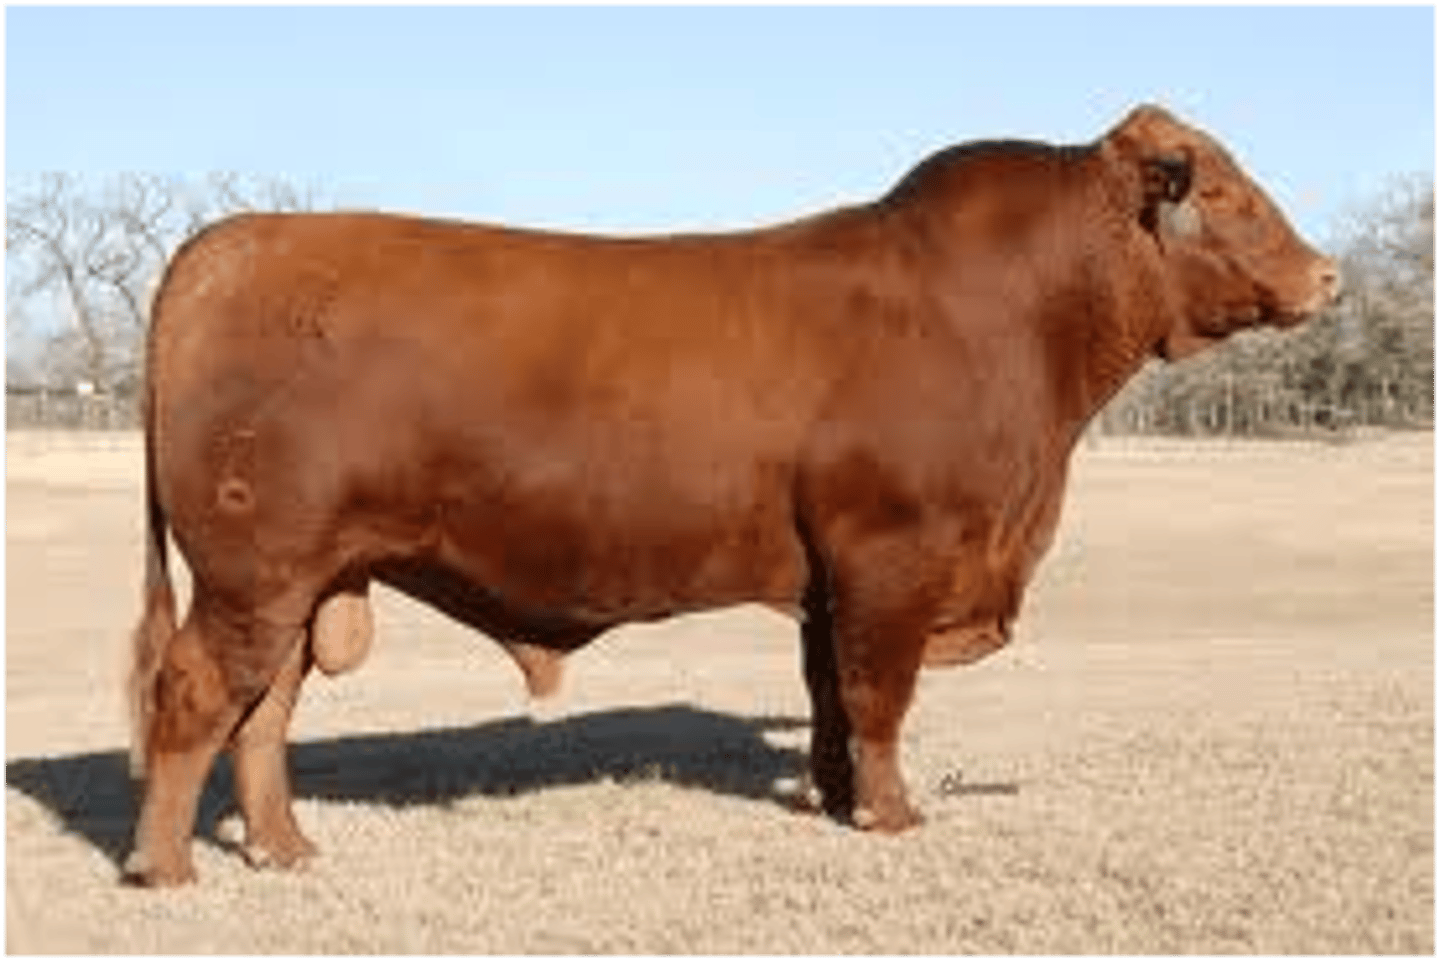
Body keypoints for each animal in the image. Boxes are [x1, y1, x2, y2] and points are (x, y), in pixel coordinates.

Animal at [123, 105, 1339, 885]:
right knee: (193, 695)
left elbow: (832, 699)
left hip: (298, 582)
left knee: (263, 713)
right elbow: (881, 694)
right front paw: (893, 817)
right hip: (252, 574)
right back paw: (167, 866)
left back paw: (284, 849)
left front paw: (834, 800)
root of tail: (228, 243)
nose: (1327, 276)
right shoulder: (892, 558)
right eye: (1221, 190)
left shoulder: (828, 579)